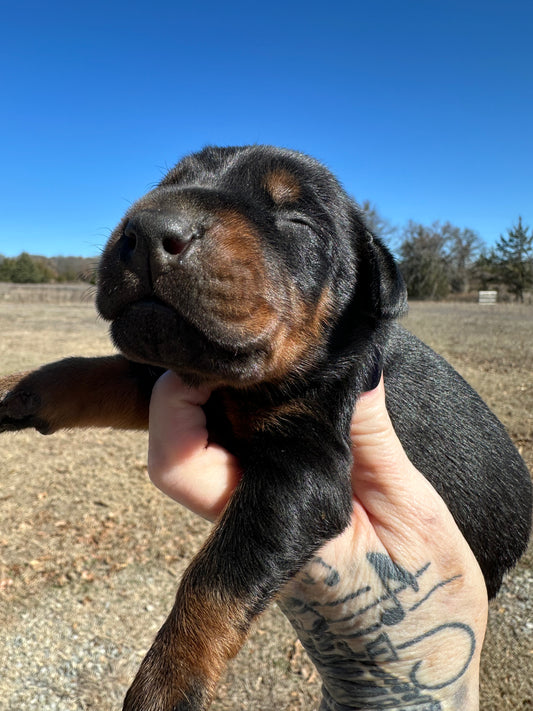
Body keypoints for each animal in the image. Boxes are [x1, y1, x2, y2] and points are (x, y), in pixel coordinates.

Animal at [1, 145, 532, 711]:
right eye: (164, 186)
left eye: (297, 221)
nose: (147, 229)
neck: (236, 386)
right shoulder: (173, 375)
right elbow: (89, 370)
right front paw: (16, 391)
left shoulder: (303, 469)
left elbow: (216, 575)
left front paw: (166, 684)